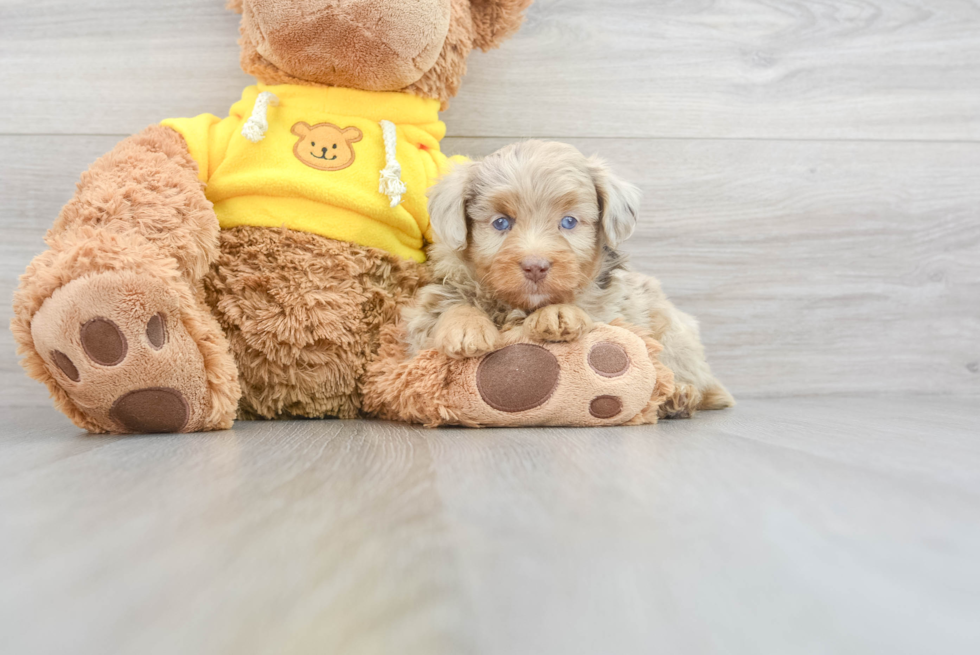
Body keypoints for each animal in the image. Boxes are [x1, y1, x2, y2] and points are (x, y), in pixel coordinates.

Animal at [402, 141, 732, 418]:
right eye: (501, 223)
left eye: (569, 222)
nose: (535, 266)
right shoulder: (426, 313)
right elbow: (450, 306)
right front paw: (465, 327)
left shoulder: (613, 311)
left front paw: (558, 313)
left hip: (673, 330)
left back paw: (678, 395)